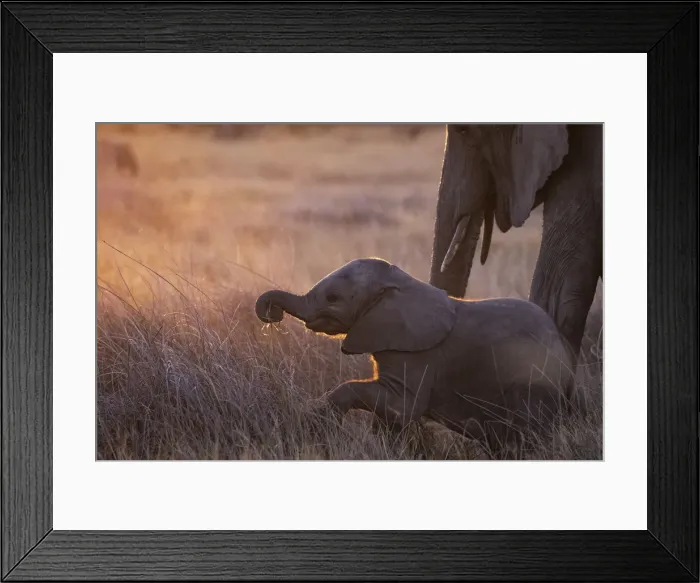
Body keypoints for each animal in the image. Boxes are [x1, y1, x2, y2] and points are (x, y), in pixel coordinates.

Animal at [255, 258, 575, 454]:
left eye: (333, 298)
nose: (272, 315)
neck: (401, 284)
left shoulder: (417, 353)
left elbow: (403, 406)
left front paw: (318, 422)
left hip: (532, 383)